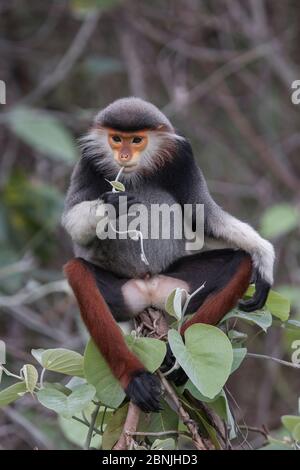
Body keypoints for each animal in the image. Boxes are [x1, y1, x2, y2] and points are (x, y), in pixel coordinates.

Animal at [62, 97, 276, 414]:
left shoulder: (183, 158)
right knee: (77, 271)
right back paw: (136, 379)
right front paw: (110, 207)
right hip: (124, 296)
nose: (123, 155)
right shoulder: (88, 160)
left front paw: (264, 256)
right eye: (116, 139)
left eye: (136, 140)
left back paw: (176, 359)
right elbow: (72, 223)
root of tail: (149, 287)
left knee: (240, 261)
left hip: (177, 289)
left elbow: (205, 217)